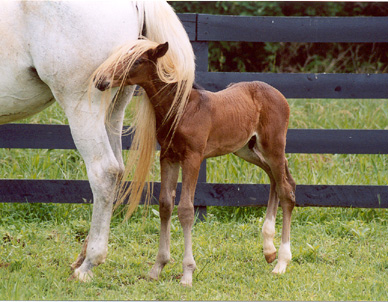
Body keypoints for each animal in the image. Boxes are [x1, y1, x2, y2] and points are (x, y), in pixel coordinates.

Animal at [95, 41, 296, 286]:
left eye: (138, 61)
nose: (101, 81)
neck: (181, 109)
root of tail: (279, 95)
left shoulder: (193, 157)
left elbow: (186, 210)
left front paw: (187, 273)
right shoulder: (168, 157)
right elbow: (165, 205)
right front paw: (158, 267)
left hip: (273, 146)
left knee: (286, 190)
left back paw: (282, 262)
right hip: (247, 149)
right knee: (276, 179)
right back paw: (269, 249)